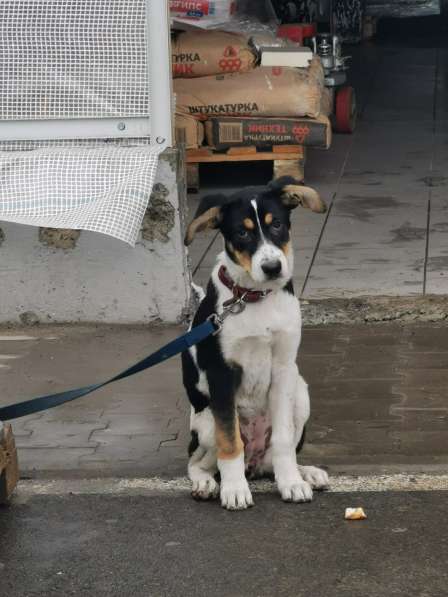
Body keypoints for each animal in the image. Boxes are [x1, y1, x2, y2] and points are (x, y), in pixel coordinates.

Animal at [182, 175, 328, 510]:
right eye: (241, 232)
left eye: (278, 225)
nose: (273, 268)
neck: (252, 298)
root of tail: (255, 464)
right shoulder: (221, 375)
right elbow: (229, 440)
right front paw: (235, 490)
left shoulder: (284, 367)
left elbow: (284, 440)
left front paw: (291, 483)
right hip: (204, 421)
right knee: (198, 460)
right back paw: (206, 483)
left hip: (301, 392)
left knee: (275, 456)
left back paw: (306, 473)